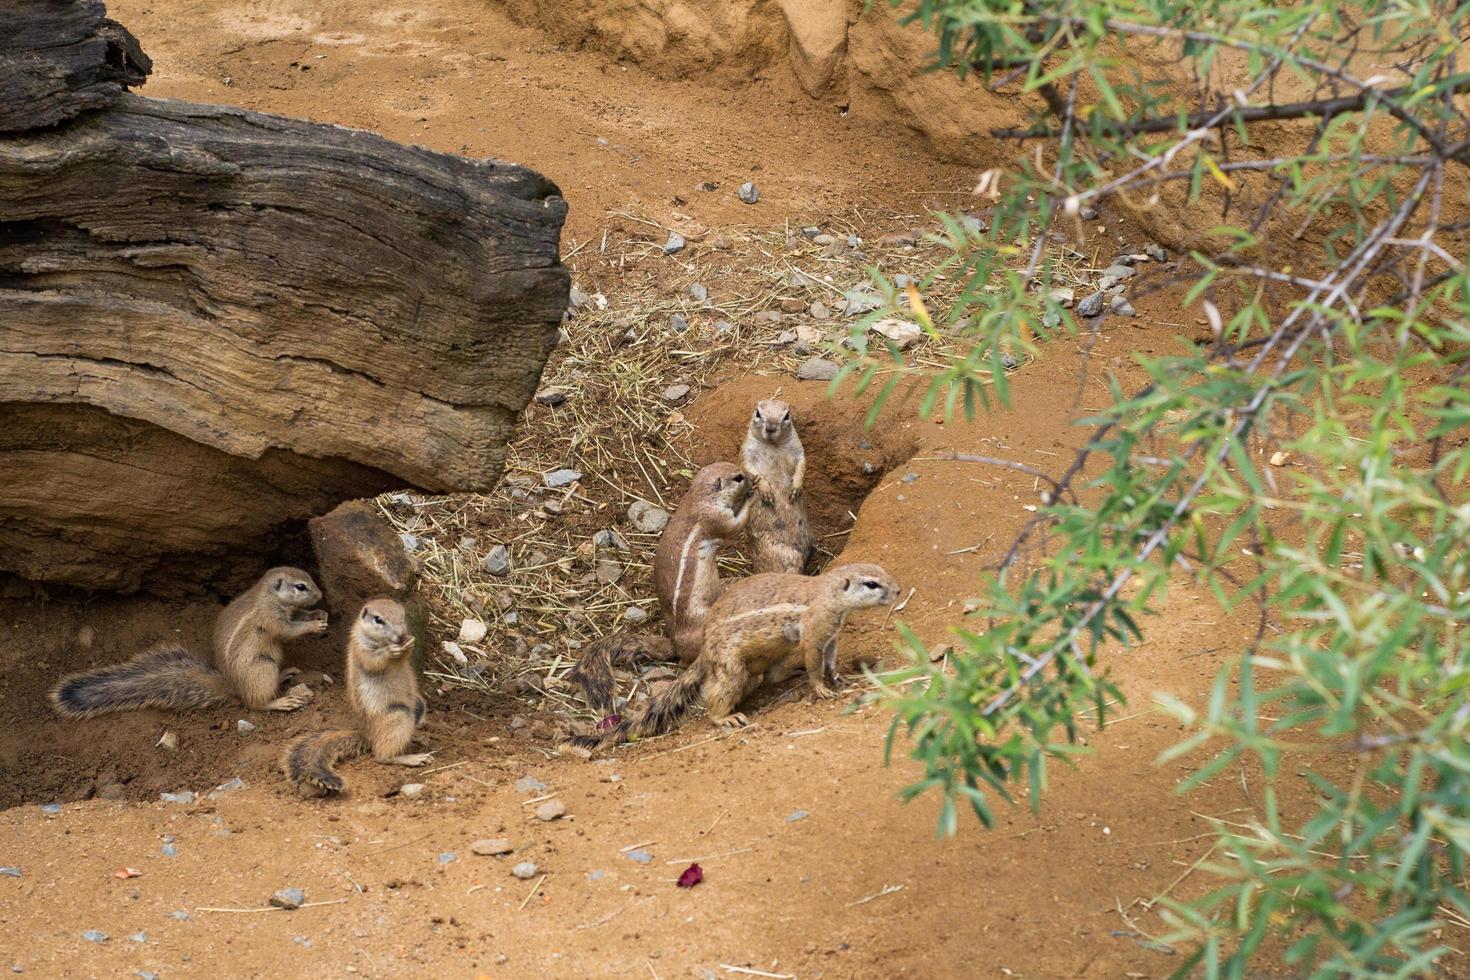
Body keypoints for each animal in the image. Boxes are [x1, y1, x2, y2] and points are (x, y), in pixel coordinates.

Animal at [53, 567, 329, 719]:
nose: (320, 595)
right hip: (262, 667)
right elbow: (288, 630)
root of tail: (231, 685)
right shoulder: (270, 616)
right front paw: (314, 625)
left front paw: (318, 614)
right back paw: (280, 701)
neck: (269, 595)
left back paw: (285, 674)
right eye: (301, 586)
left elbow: (297, 618)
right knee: (254, 702)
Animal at [282, 599, 429, 799]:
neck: (380, 641)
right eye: (378, 619)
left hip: (418, 704)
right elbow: (374, 661)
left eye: (403, 616)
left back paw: (417, 739)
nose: (401, 635)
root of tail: (366, 734)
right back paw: (412, 758)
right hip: (398, 715)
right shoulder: (361, 647)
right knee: (381, 755)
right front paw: (391, 650)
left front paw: (409, 642)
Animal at [561, 464, 746, 717]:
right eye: (737, 477)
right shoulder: (715, 518)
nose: (749, 476)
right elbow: (734, 526)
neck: (698, 497)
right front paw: (755, 493)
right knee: (687, 662)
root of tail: (674, 643)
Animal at [570, 564, 893, 746]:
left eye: (884, 573)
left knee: (769, 676)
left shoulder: (832, 635)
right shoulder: (814, 633)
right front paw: (822, 688)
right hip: (731, 668)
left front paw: (839, 677)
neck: (830, 594)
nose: (899, 590)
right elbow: (814, 662)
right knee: (717, 698)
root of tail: (704, 652)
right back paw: (726, 718)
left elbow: (830, 659)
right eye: (871, 584)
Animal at [740, 399, 823, 575]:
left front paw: (796, 488)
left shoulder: (798, 449)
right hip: (785, 554)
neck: (773, 445)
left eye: (787, 415)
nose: (770, 428)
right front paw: (766, 492)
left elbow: (802, 463)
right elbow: (750, 469)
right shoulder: (746, 452)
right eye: (758, 413)